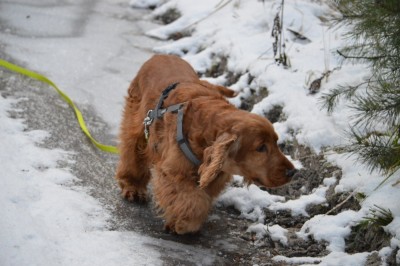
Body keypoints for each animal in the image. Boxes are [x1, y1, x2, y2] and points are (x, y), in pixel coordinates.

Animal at [114, 54, 296, 235]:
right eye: (261, 148)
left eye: (276, 142)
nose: (292, 172)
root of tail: (161, 55)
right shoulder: (173, 172)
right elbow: (194, 201)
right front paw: (184, 223)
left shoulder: (215, 175)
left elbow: (201, 197)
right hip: (139, 125)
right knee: (132, 153)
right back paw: (134, 188)